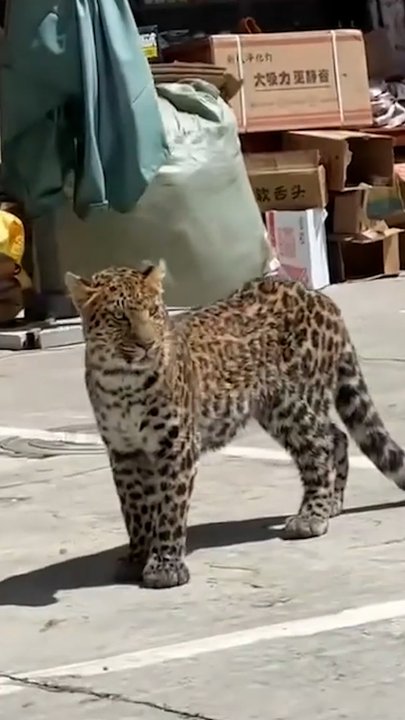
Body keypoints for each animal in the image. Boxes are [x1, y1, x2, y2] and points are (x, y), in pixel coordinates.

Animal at [66, 262, 405, 590]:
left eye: (152, 311)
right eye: (119, 317)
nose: (147, 345)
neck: (121, 382)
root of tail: (318, 297)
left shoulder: (176, 446)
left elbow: (169, 510)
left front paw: (165, 567)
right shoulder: (124, 452)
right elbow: (134, 509)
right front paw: (137, 557)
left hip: (295, 402)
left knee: (319, 447)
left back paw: (312, 516)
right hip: (282, 410)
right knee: (337, 436)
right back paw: (333, 502)